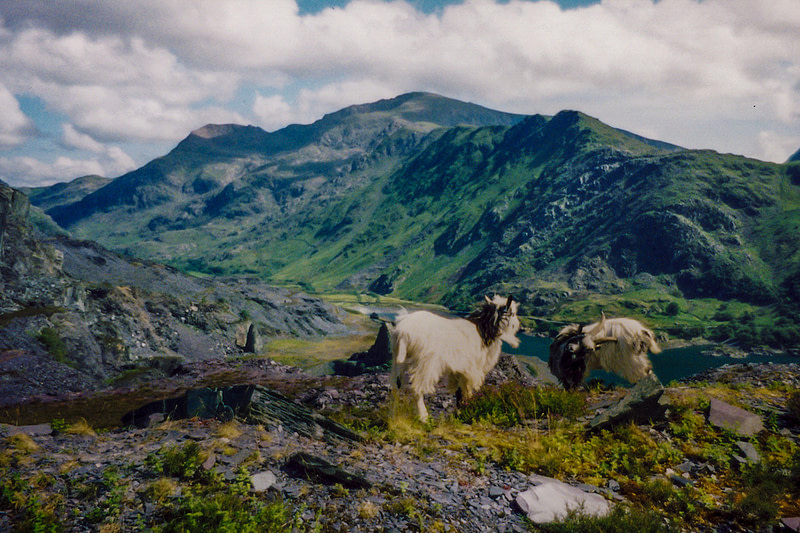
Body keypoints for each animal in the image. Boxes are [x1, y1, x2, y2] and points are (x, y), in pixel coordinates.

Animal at [390, 294, 520, 422]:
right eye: (513, 313)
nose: (518, 325)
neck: (483, 332)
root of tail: (403, 332)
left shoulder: (459, 370)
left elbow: (459, 393)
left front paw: (459, 412)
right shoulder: (470, 370)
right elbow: (467, 391)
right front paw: (468, 409)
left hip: (398, 360)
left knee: (396, 387)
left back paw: (393, 416)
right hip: (425, 363)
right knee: (417, 389)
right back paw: (423, 417)